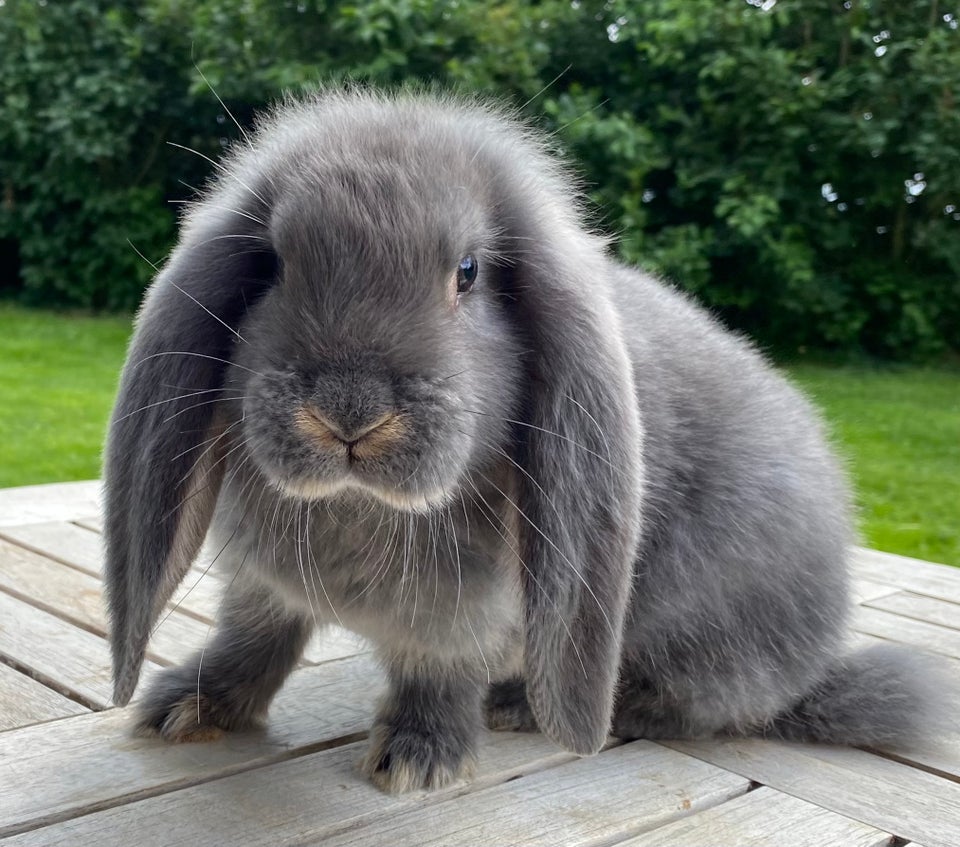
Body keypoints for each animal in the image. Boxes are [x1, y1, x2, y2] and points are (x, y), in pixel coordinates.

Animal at [101, 88, 940, 796]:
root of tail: (813, 666)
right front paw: (185, 705)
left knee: (692, 702)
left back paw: (519, 704)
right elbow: (254, 635)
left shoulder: (468, 610)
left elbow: (435, 670)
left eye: (468, 271)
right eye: (273, 262)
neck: (359, 507)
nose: (348, 413)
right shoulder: (260, 583)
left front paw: (418, 757)